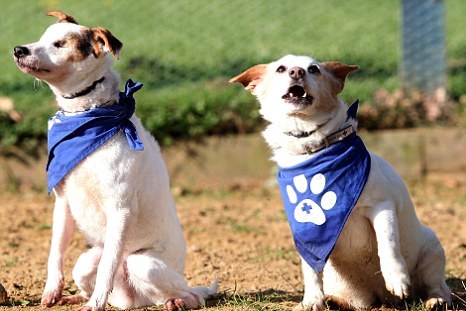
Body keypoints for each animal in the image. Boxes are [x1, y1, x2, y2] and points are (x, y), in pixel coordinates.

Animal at [12, 11, 216, 311]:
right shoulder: (63, 202)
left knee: (190, 294)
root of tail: (135, 299)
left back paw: (177, 301)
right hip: (85, 261)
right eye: (41, 38)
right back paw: (76, 296)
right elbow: (55, 252)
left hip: (144, 263)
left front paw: (96, 304)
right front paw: (52, 291)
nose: (18, 49)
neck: (88, 115)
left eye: (60, 44)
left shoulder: (120, 209)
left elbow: (107, 267)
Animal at [232, 54, 452, 310]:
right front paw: (312, 301)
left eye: (314, 69)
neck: (312, 148)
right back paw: (332, 300)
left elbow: (387, 245)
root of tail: (381, 298)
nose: (297, 72)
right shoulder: (304, 229)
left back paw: (435, 300)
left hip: (432, 250)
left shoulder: (381, 206)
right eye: (281, 69)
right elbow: (309, 268)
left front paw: (397, 279)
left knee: (438, 286)